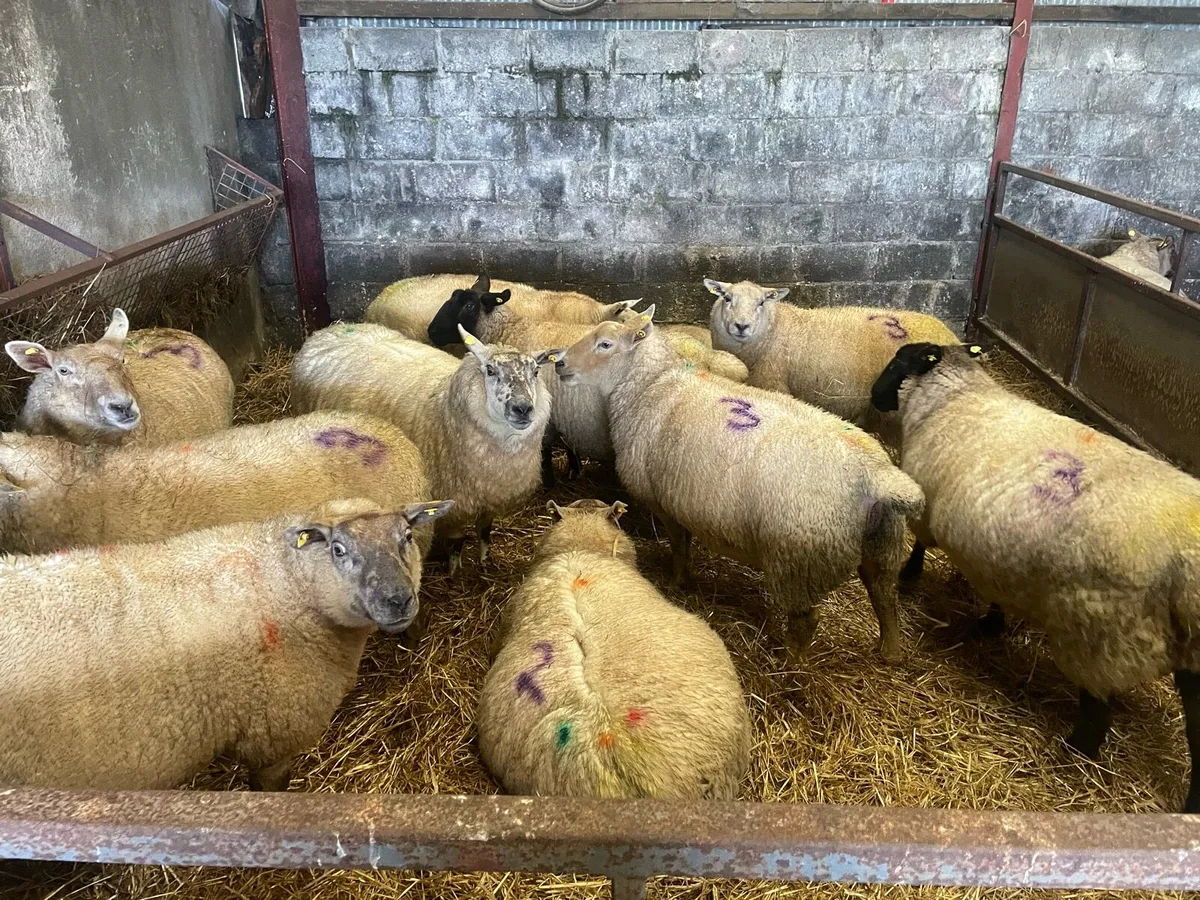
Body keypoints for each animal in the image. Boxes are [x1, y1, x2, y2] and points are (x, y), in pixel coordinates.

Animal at [291, 322, 561, 573]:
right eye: (490, 370)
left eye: (536, 371)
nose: (523, 409)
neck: (444, 409)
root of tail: (330, 329)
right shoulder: (452, 503)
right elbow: (457, 542)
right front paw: (454, 573)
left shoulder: (490, 495)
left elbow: (485, 531)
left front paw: (485, 563)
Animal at [554, 309, 926, 661]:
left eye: (605, 344)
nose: (559, 363)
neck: (650, 383)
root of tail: (877, 475)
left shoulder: (666, 502)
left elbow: (679, 546)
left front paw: (679, 582)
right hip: (882, 542)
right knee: (884, 595)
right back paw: (890, 652)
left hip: (797, 559)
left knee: (806, 622)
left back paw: (788, 665)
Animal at [705, 279, 958, 445]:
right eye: (727, 298)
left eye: (761, 303)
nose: (741, 326)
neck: (774, 329)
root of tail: (952, 336)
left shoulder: (775, 383)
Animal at [869, 341, 1200, 812]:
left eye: (899, 362)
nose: (874, 396)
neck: (954, 397)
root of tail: (1189, 562)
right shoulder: (996, 550)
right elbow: (995, 590)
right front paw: (991, 622)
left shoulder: (927, 506)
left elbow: (919, 547)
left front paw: (908, 578)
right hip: (1190, 658)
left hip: (1101, 636)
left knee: (1097, 712)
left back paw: (1075, 752)